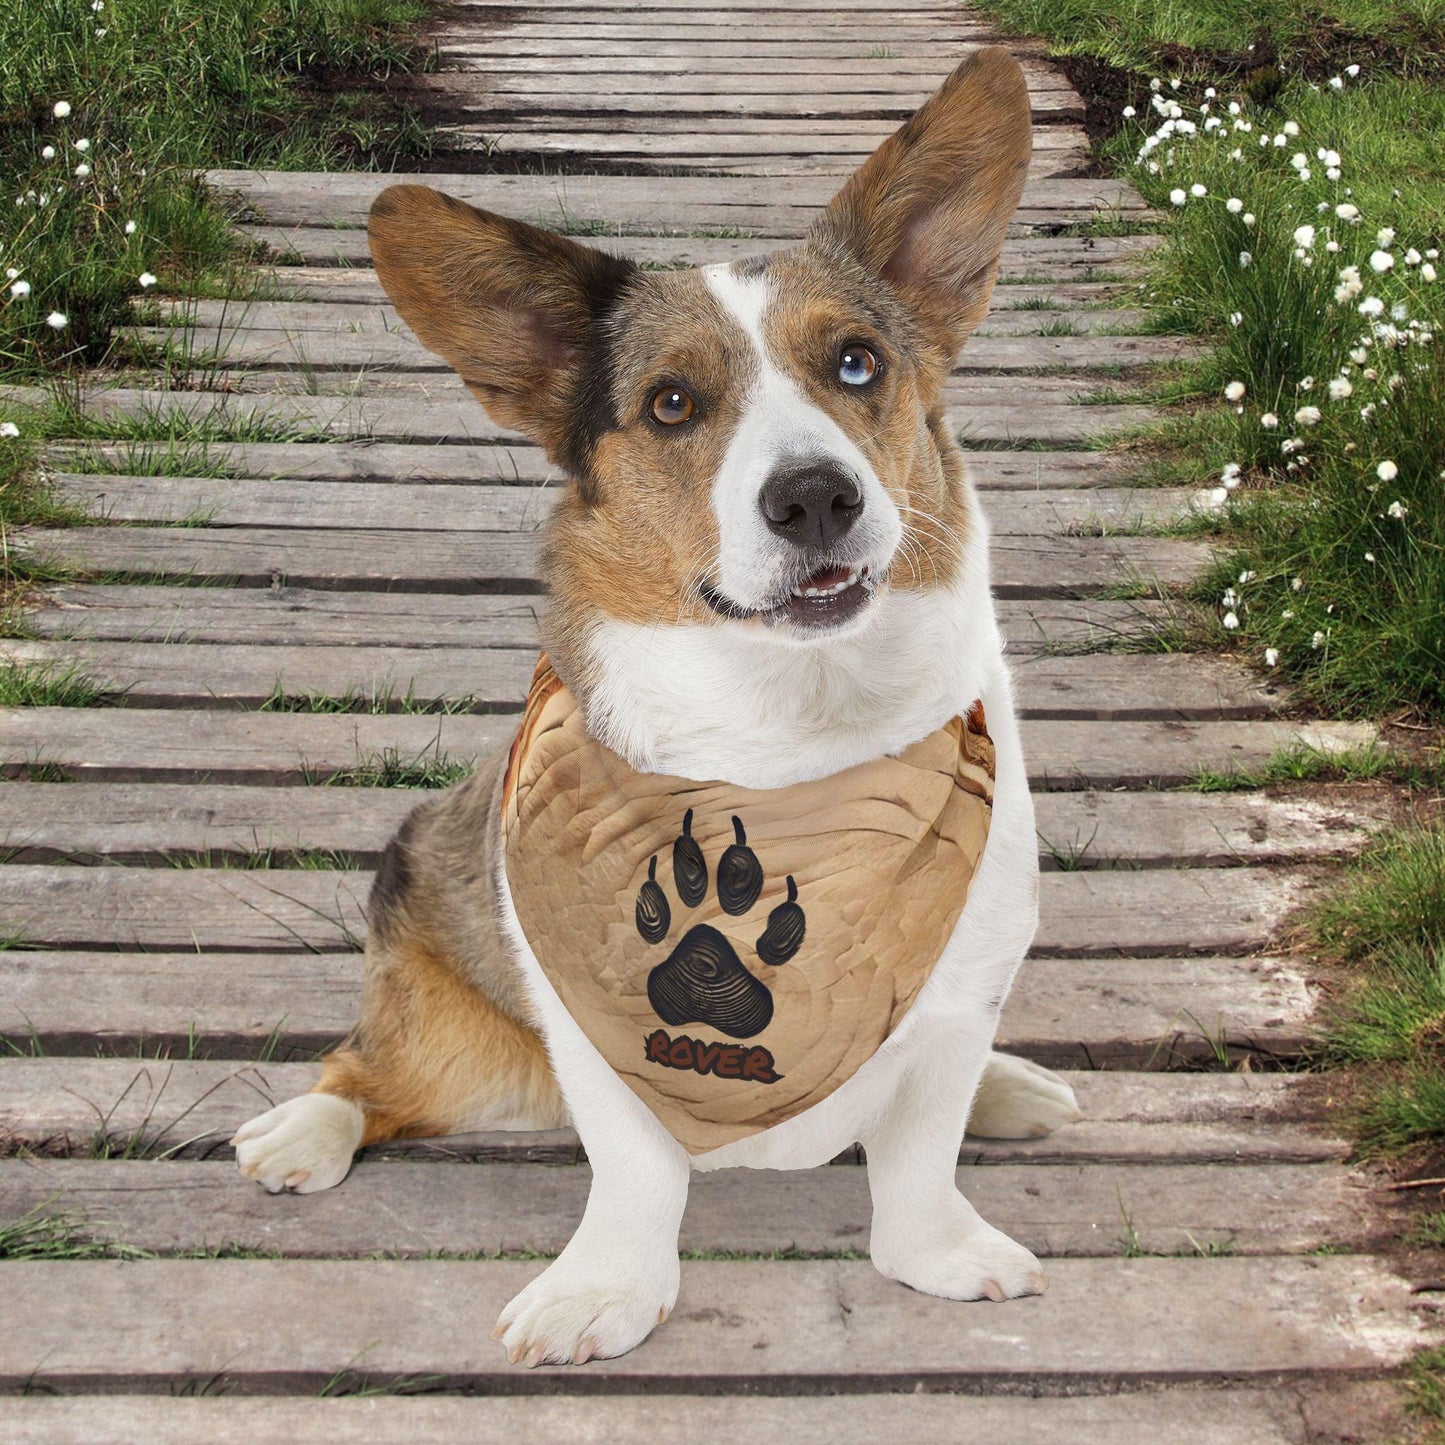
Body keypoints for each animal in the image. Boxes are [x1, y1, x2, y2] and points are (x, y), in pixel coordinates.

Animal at [228, 50, 1086, 1364]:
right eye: (672, 404)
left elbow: (920, 1150)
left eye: (856, 363)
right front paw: (601, 1290)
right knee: (371, 1071)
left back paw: (1009, 1086)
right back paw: (305, 1129)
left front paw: (939, 1247)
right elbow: (632, 1169)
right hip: (452, 1033)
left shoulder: (957, 988)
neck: (790, 741)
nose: (815, 498)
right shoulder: (595, 1023)